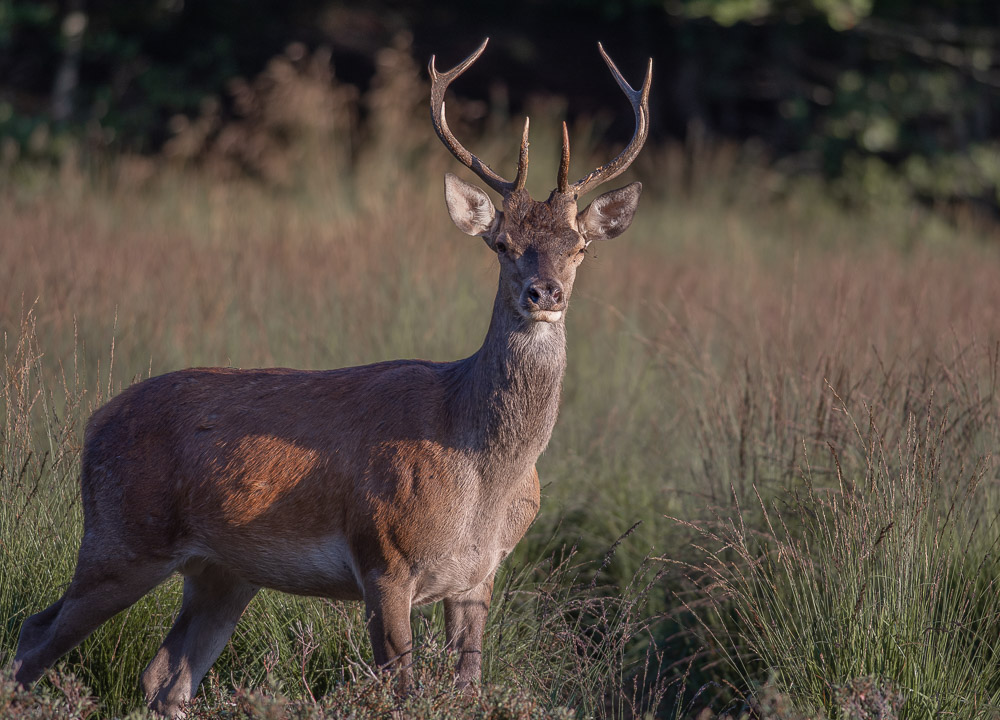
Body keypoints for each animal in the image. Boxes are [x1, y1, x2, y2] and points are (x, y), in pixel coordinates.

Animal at [11, 38, 652, 716]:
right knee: (36, 634)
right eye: (501, 244)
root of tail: (93, 422)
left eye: (580, 245)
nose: (544, 292)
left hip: (221, 571)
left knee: (165, 673)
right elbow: (401, 689)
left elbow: (468, 687)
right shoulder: (383, 556)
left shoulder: (478, 577)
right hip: (122, 535)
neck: (480, 472)